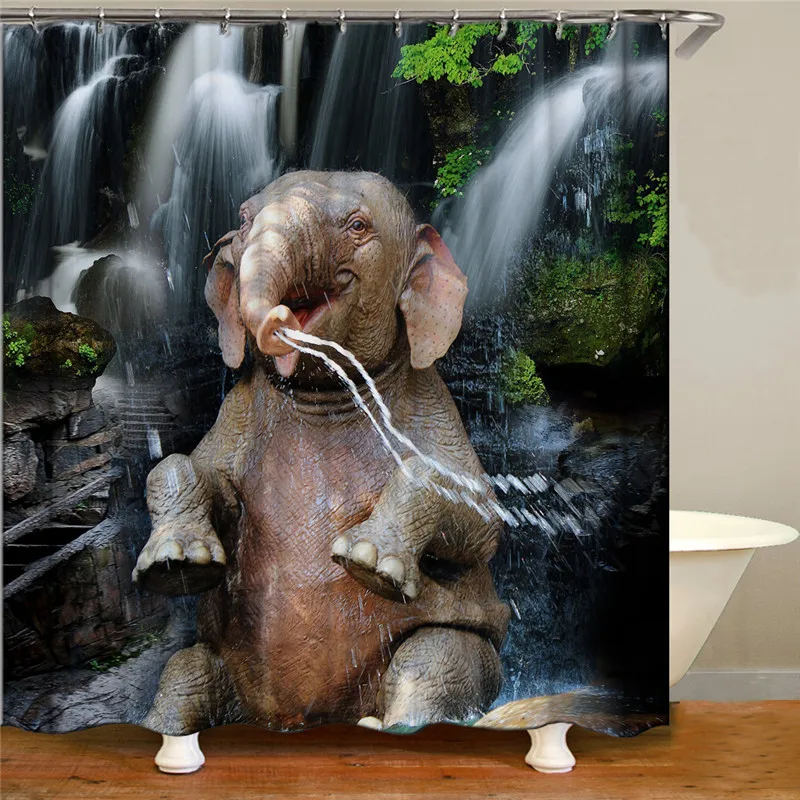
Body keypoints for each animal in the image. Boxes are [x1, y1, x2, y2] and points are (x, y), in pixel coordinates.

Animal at [133, 171, 510, 735]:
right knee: (186, 671)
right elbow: (198, 471)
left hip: (460, 656)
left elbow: (482, 520)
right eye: (242, 218)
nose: (279, 317)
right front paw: (177, 562)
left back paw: (387, 726)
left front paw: (370, 563)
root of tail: (305, 720)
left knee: (437, 656)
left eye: (358, 226)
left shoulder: (436, 410)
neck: (323, 394)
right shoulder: (235, 416)